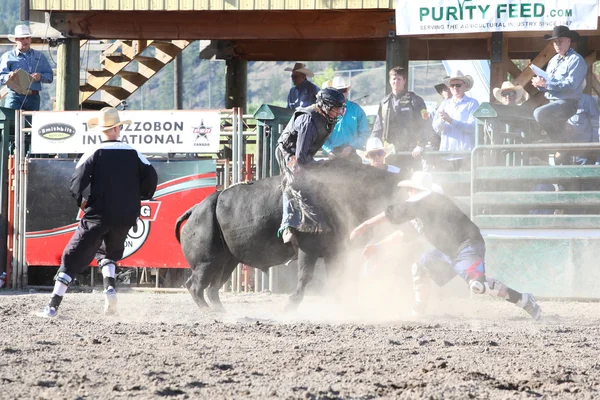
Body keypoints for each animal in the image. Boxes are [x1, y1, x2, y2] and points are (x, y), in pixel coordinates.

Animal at [176, 161, 406, 310]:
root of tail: (197, 208)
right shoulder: (308, 248)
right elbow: (305, 276)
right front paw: (290, 304)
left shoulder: (334, 252)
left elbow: (335, 278)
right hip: (206, 263)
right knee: (194, 286)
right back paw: (210, 312)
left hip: (226, 262)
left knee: (212, 289)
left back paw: (221, 312)